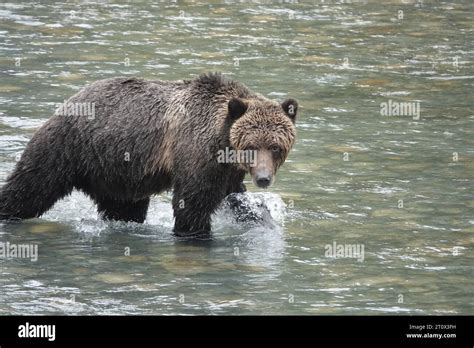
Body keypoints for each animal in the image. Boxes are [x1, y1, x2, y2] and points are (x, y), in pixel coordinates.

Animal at [0, 73, 296, 237]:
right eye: (251, 146)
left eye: (275, 146)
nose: (263, 178)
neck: (222, 143)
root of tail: (69, 102)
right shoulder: (195, 153)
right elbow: (193, 202)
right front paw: (194, 233)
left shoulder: (227, 171)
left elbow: (236, 199)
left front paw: (263, 217)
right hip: (68, 147)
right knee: (30, 186)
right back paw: (9, 213)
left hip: (114, 171)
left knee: (123, 207)